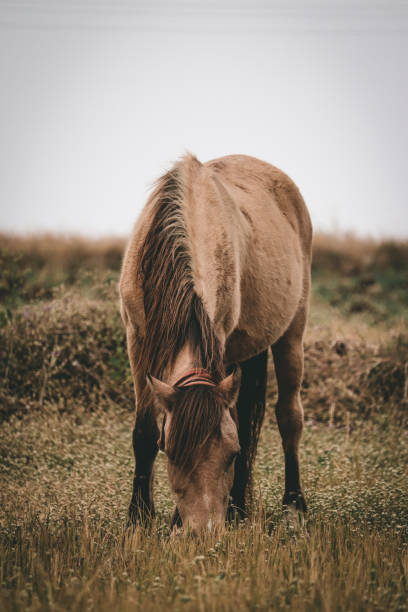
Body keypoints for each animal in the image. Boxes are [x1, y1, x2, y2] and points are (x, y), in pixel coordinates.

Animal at [119, 153, 310, 532]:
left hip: (292, 333)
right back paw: (238, 508)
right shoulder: (137, 339)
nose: (204, 530)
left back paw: (293, 507)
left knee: (288, 418)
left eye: (230, 456)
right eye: (170, 449)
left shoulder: (219, 340)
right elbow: (143, 432)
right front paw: (139, 517)